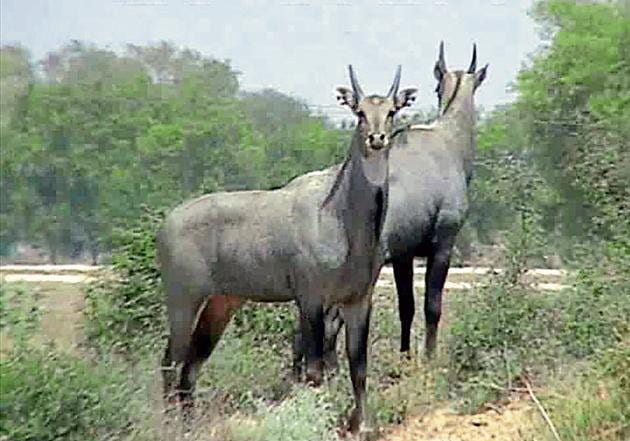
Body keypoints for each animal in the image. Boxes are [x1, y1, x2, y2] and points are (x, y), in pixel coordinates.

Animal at [157, 65, 420, 434]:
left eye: (392, 111)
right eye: (359, 112)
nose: (377, 138)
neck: (339, 213)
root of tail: (166, 224)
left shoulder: (357, 300)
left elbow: (359, 368)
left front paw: (364, 426)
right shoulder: (310, 298)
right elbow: (313, 370)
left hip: (219, 305)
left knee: (190, 368)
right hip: (184, 301)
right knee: (171, 363)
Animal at [294, 42, 492, 372]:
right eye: (437, 86)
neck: (448, 140)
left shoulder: (403, 255)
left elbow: (406, 307)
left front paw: (405, 357)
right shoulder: (443, 243)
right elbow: (432, 306)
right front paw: (429, 358)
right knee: (333, 315)